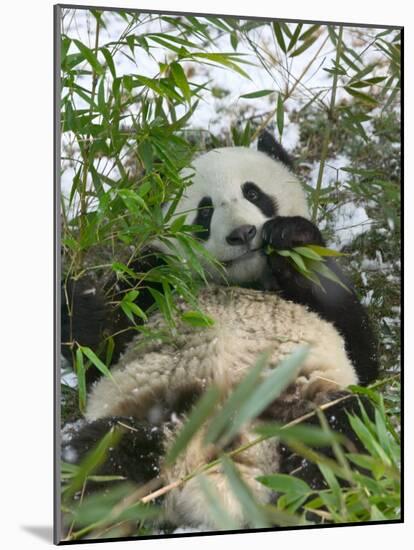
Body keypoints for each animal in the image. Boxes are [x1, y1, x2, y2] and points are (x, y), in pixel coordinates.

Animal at [61, 132, 378, 532]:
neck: (243, 281)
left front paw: (288, 238)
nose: (243, 233)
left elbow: (358, 345)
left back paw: (315, 505)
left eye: (254, 193)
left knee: (342, 433)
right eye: (205, 211)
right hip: (142, 428)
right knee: (92, 460)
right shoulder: (153, 279)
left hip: (301, 415)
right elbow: (100, 354)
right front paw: (81, 302)